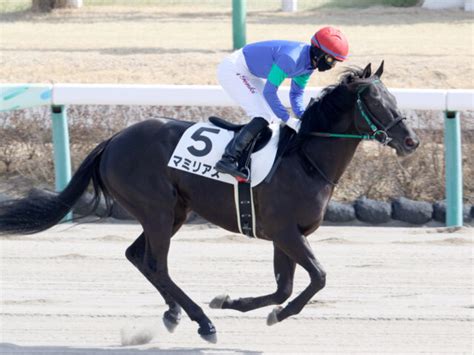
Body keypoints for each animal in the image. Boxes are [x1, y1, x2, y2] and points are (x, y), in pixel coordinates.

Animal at [0, 62, 418, 344]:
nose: (411, 140)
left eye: (394, 97)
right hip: (157, 210)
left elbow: (284, 287)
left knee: (139, 257)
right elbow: (318, 277)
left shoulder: (284, 235)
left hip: (173, 212)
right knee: (156, 263)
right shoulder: (285, 232)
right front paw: (274, 314)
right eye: (376, 101)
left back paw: (174, 313)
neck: (304, 159)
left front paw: (233, 302)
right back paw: (202, 322)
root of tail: (113, 140)